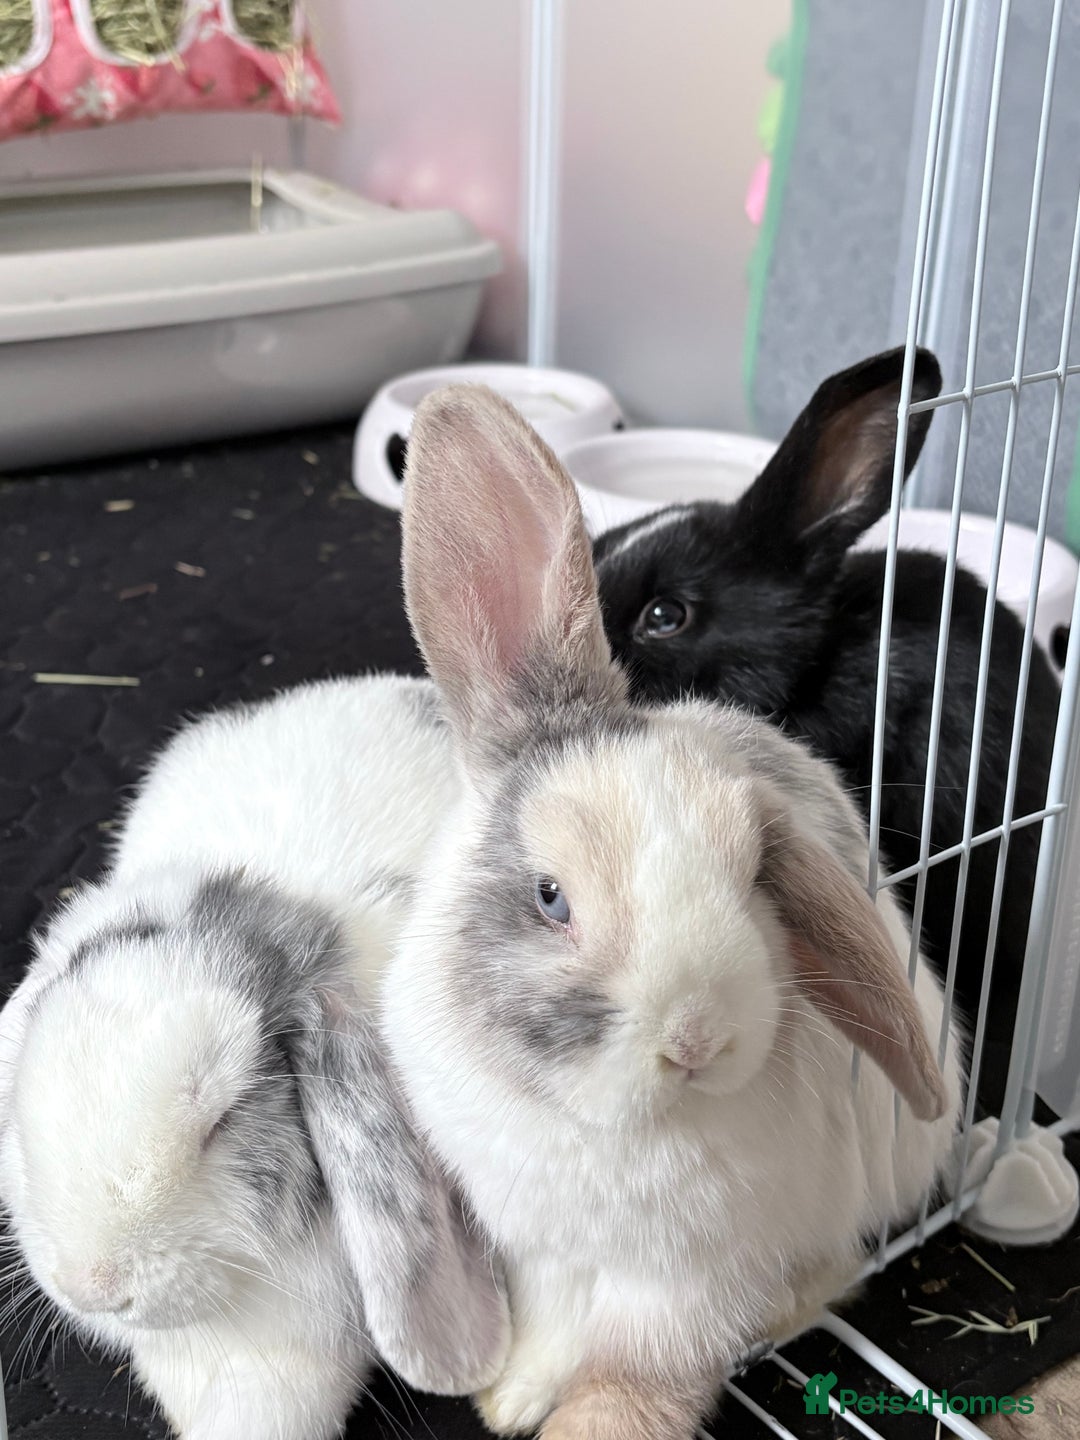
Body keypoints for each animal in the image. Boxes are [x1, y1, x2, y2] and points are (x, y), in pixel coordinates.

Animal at [379, 384, 965, 1440]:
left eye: (756, 875)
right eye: (550, 897)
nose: (698, 1038)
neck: (601, 1128)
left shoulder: (687, 1289)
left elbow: (633, 1379)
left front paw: (568, 1423)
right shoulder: (539, 1248)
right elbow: (551, 1326)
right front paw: (511, 1396)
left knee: (838, 1271)